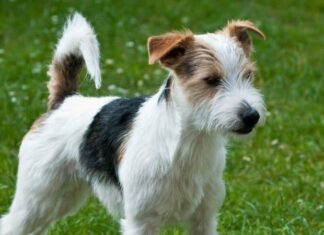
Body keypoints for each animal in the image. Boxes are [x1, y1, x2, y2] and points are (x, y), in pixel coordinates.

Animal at [0, 13, 264, 235]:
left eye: (248, 75)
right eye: (210, 80)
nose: (252, 116)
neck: (187, 144)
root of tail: (63, 102)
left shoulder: (204, 217)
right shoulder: (141, 221)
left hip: (59, 199)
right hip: (36, 199)